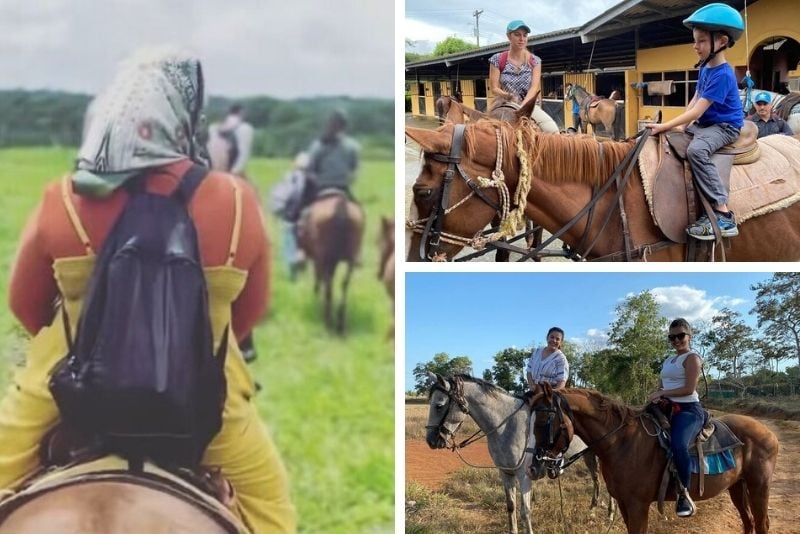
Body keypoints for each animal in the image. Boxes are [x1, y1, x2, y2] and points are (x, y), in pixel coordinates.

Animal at [298, 193, 364, 336]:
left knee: (327, 285)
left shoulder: (320, 260)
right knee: (344, 284)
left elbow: (319, 279)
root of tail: (340, 205)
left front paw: (315, 299)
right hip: (349, 259)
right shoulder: (332, 261)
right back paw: (340, 323)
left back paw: (327, 321)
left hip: (324, 258)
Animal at [424, 374, 612, 534]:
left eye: (439, 405)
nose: (431, 440)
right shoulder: (506, 472)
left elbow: (525, 511)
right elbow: (511, 507)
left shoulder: (524, 475)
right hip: (588, 455)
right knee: (596, 480)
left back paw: (610, 515)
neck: (507, 425)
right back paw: (592, 511)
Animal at [528, 386, 780, 534]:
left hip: (759, 486)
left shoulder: (638, 506)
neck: (621, 441)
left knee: (761, 523)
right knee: (748, 521)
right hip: (737, 486)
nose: (535, 467)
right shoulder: (624, 503)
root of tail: (768, 432)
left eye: (543, 421)